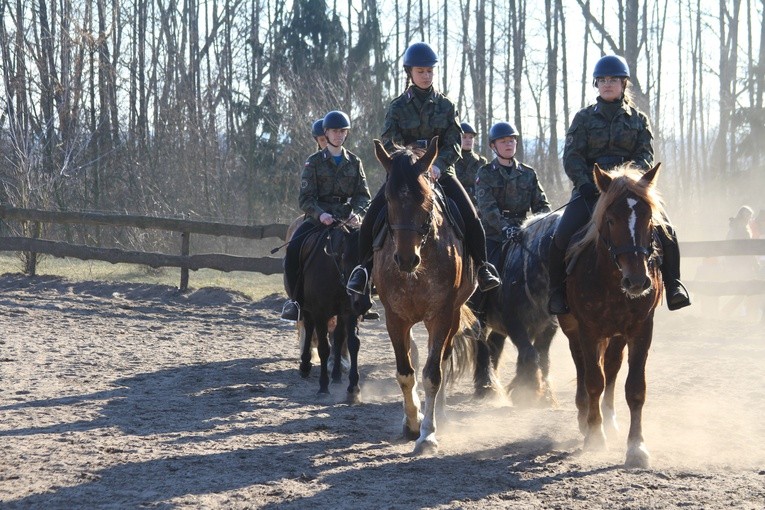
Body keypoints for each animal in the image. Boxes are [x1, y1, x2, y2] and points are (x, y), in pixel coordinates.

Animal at [296, 221, 362, 400]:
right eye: (344, 257)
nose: (357, 293)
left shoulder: (350, 311)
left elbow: (353, 344)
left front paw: (353, 388)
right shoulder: (320, 313)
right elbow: (323, 348)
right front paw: (323, 387)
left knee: (338, 337)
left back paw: (337, 375)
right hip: (307, 308)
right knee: (309, 327)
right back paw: (305, 365)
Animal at [372, 138, 474, 454]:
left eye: (427, 199)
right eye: (388, 199)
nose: (406, 259)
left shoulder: (441, 316)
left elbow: (432, 374)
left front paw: (428, 433)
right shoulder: (394, 318)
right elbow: (405, 372)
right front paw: (412, 422)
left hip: (451, 317)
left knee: (440, 359)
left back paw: (439, 413)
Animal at [472, 210, 560, 406]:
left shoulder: (548, 326)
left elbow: (543, 358)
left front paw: (545, 394)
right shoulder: (514, 322)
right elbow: (530, 354)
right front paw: (527, 391)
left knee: (494, 345)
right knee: (482, 348)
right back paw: (486, 387)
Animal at [556, 161, 668, 468]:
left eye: (649, 219)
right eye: (610, 220)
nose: (637, 281)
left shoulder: (641, 330)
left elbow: (635, 388)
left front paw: (636, 447)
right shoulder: (588, 331)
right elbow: (594, 381)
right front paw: (595, 437)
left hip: (617, 335)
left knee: (612, 367)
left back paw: (610, 419)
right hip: (573, 331)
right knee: (583, 367)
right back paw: (586, 417)